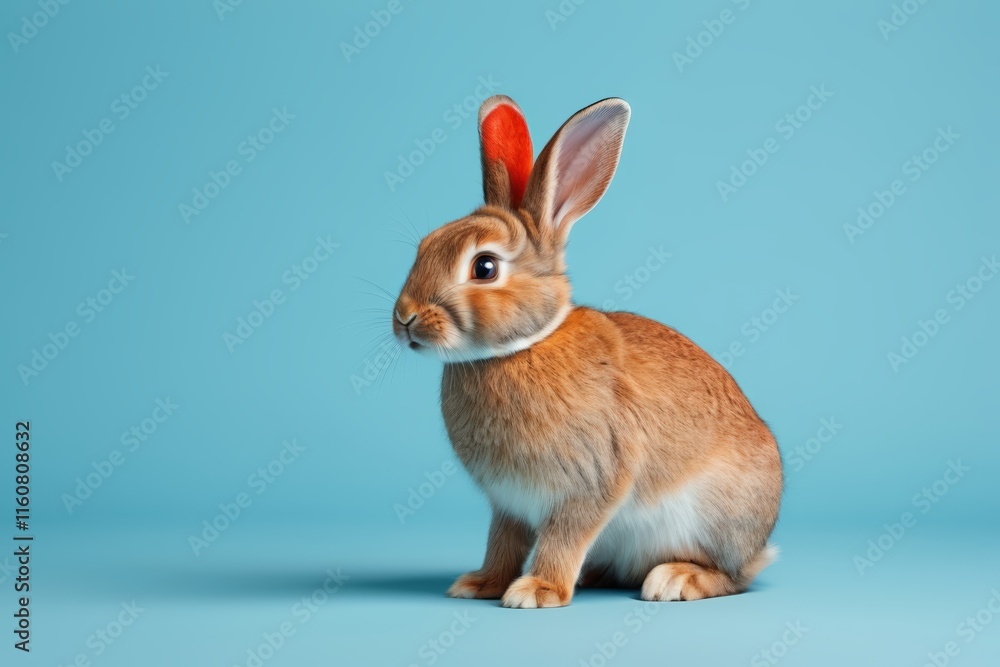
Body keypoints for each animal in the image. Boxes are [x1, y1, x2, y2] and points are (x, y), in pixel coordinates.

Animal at [391, 95, 782, 608]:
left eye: (485, 267)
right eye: (424, 245)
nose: (404, 317)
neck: (518, 349)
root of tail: (761, 545)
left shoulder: (590, 481)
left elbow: (564, 537)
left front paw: (537, 591)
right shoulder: (507, 505)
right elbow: (502, 542)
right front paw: (481, 584)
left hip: (716, 520)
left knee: (733, 577)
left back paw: (676, 580)